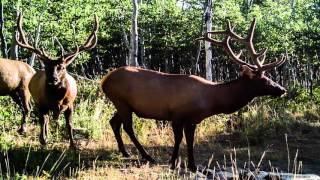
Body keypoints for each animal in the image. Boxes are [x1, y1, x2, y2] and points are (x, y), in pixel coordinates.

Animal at [14, 13, 99, 148]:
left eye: (62, 67)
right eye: (46, 67)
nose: (53, 79)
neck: (57, 100)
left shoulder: (70, 104)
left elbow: (69, 124)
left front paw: (73, 145)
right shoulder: (42, 103)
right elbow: (42, 122)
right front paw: (43, 141)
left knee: (48, 120)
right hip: (37, 101)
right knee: (44, 120)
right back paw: (44, 138)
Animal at [101, 18, 286, 172]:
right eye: (263, 79)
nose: (282, 89)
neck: (211, 100)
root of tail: (104, 81)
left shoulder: (193, 119)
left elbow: (190, 140)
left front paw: (192, 165)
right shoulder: (176, 114)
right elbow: (178, 139)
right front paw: (173, 163)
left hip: (123, 104)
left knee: (113, 122)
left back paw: (125, 152)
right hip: (121, 101)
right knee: (128, 127)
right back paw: (147, 156)